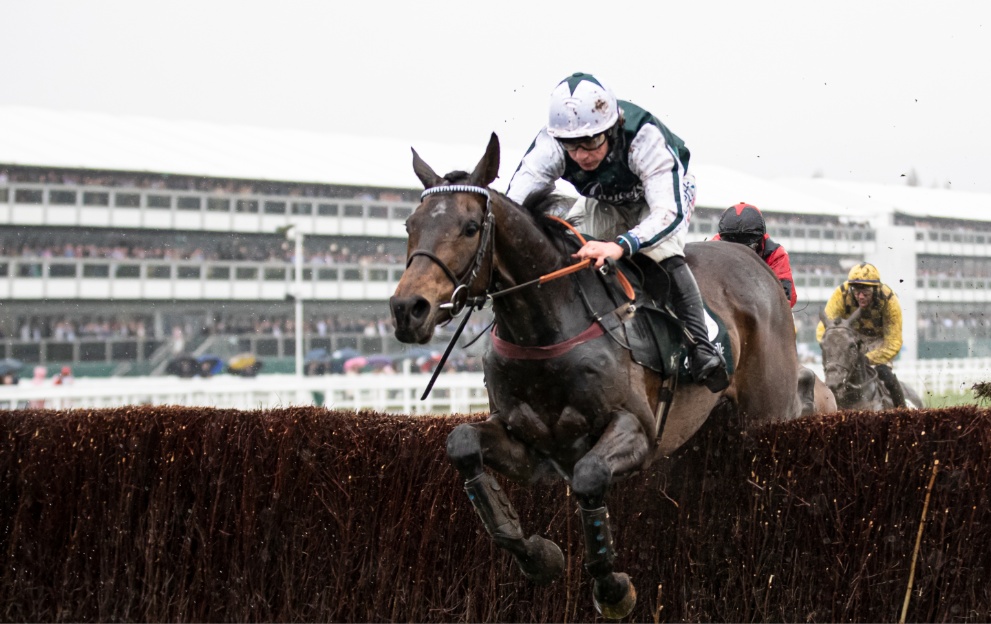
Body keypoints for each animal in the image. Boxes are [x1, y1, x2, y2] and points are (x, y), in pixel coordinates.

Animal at [388, 133, 808, 620]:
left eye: (471, 227)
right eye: (410, 225)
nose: (408, 309)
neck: (548, 326)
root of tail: (754, 262)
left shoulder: (638, 430)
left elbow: (589, 477)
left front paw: (612, 587)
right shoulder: (530, 448)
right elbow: (462, 445)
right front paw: (538, 556)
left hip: (769, 409)